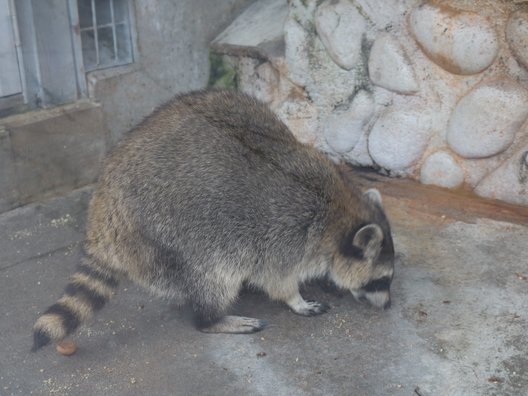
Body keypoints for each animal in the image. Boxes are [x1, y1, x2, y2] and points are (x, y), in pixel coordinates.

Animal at [33, 89, 394, 350]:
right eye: (381, 280)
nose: (388, 306)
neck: (339, 213)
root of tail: (106, 195)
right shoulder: (285, 235)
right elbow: (277, 279)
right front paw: (296, 299)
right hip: (167, 231)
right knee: (215, 276)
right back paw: (213, 318)